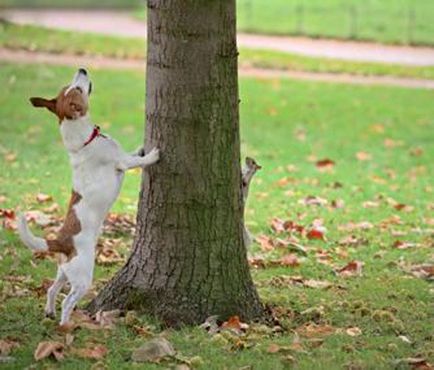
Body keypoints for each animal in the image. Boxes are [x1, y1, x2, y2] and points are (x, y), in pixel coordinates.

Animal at [17, 68, 159, 326]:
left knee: (52, 289)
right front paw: (152, 154)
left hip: (64, 271)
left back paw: (49, 311)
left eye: (72, 86)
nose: (82, 68)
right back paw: (65, 324)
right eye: (78, 89)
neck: (84, 141)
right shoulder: (122, 162)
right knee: (67, 300)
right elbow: (136, 161)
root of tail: (60, 241)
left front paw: (141, 147)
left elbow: (132, 152)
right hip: (83, 278)